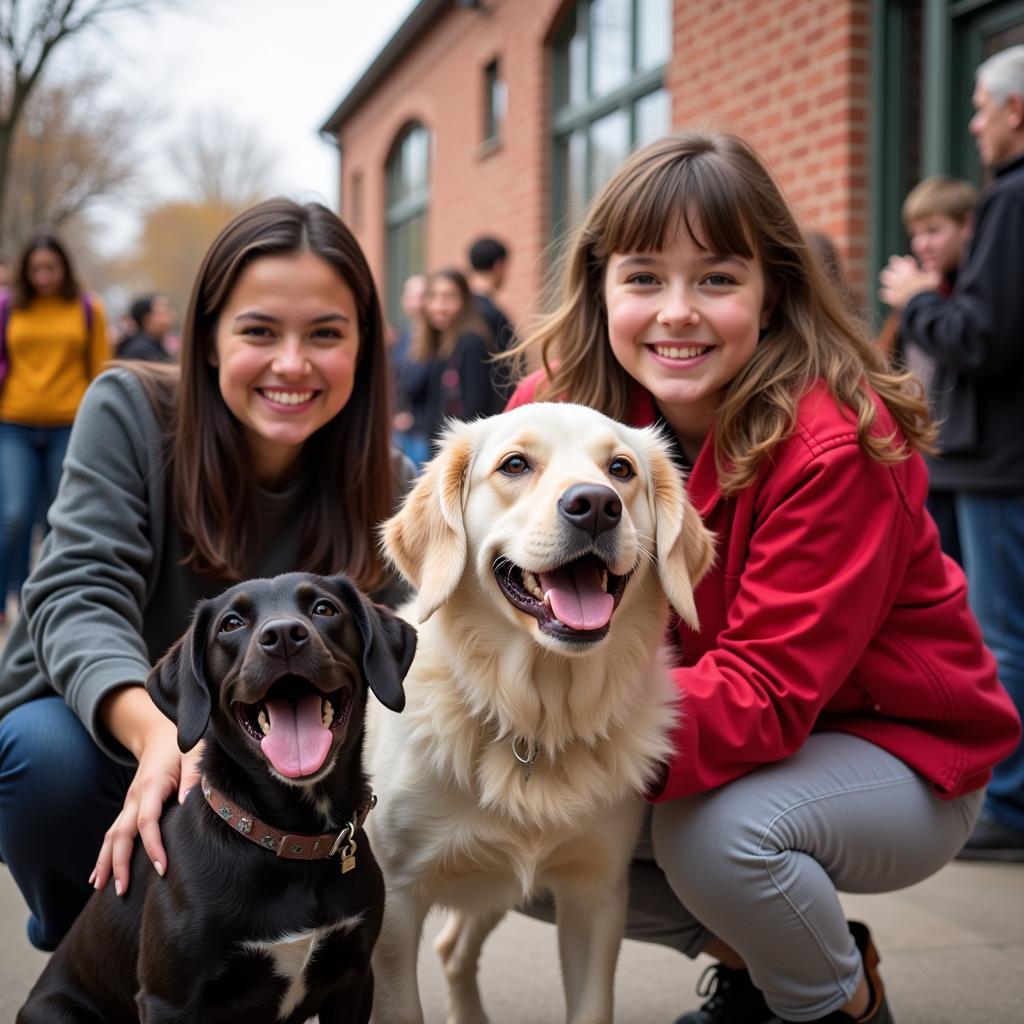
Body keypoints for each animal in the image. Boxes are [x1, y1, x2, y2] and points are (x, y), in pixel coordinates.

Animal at [17, 573, 415, 1019]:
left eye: (324, 609)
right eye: (231, 624)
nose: (283, 636)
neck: (289, 842)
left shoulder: (354, 978)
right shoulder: (168, 1000)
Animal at [366, 403, 712, 1024]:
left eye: (620, 468)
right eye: (515, 464)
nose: (596, 505)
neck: (536, 717)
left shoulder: (596, 894)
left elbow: (592, 1006)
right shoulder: (395, 902)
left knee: (453, 948)